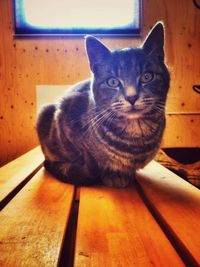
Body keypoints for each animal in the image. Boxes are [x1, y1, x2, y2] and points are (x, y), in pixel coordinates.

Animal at [36, 22, 170, 187]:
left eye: (147, 77)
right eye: (112, 82)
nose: (131, 97)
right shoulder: (64, 117)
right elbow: (83, 157)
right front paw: (111, 175)